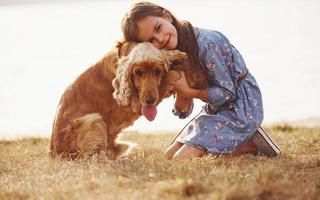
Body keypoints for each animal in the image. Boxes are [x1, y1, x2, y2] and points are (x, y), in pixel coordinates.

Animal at [49, 42, 188, 159]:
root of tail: (55, 153)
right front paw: (172, 68)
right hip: (93, 120)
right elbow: (168, 79)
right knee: (95, 159)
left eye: (157, 71)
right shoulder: (133, 102)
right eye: (138, 72)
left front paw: (174, 56)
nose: (150, 100)